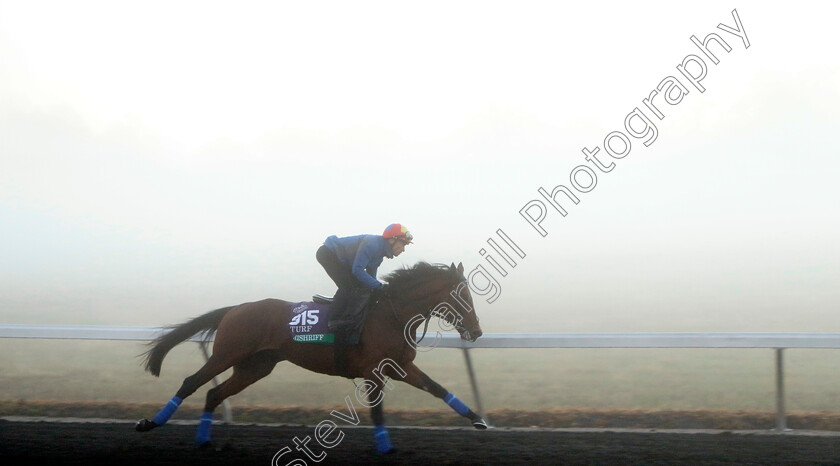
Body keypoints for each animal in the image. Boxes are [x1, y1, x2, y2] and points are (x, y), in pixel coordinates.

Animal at [134, 262, 482, 456]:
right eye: (462, 294)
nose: (477, 331)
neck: (391, 315)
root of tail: (235, 309)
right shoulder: (373, 371)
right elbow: (377, 410)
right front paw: (385, 446)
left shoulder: (401, 367)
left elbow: (437, 388)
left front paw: (477, 419)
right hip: (227, 354)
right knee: (192, 383)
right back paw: (151, 422)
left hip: (255, 366)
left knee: (213, 393)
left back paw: (205, 441)